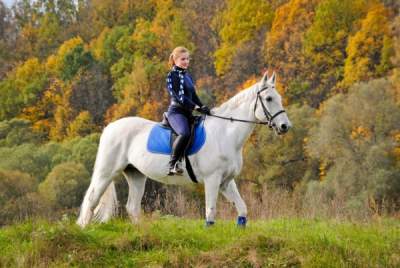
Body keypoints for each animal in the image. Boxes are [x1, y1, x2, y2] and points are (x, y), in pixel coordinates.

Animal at [76, 71, 290, 228]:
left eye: (278, 97)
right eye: (269, 98)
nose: (285, 126)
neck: (225, 134)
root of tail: (110, 126)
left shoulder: (226, 182)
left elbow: (242, 208)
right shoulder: (212, 179)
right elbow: (210, 210)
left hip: (135, 174)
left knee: (132, 207)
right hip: (107, 171)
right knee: (92, 198)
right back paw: (84, 228)